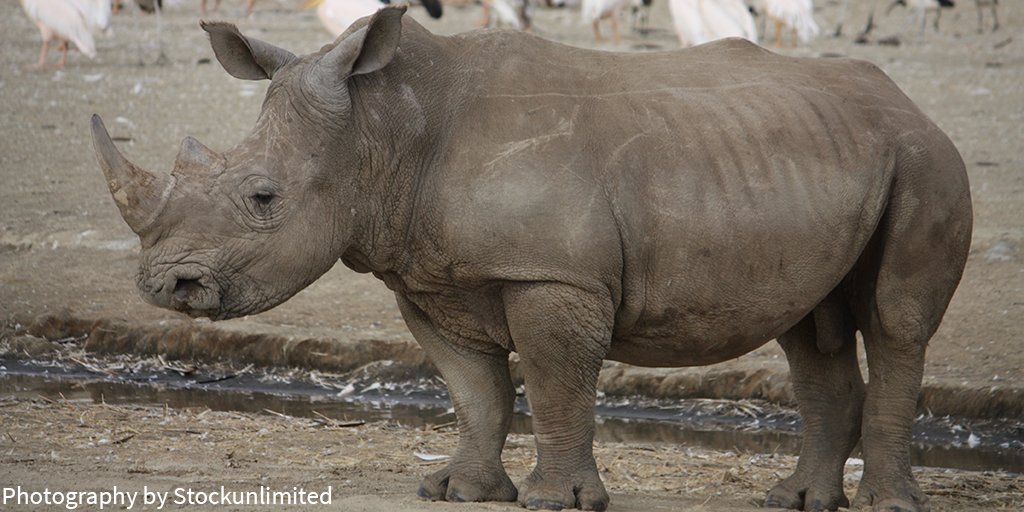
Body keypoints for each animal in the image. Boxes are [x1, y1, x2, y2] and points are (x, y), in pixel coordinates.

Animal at [91, 6, 972, 511]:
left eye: (264, 197)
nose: (166, 285)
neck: (385, 131)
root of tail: (911, 103)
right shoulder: (428, 275)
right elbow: (474, 390)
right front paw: (459, 492)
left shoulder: (552, 273)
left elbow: (553, 382)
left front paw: (557, 502)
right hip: (816, 159)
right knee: (809, 328)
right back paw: (791, 501)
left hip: (924, 160)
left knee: (895, 324)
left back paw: (885, 505)